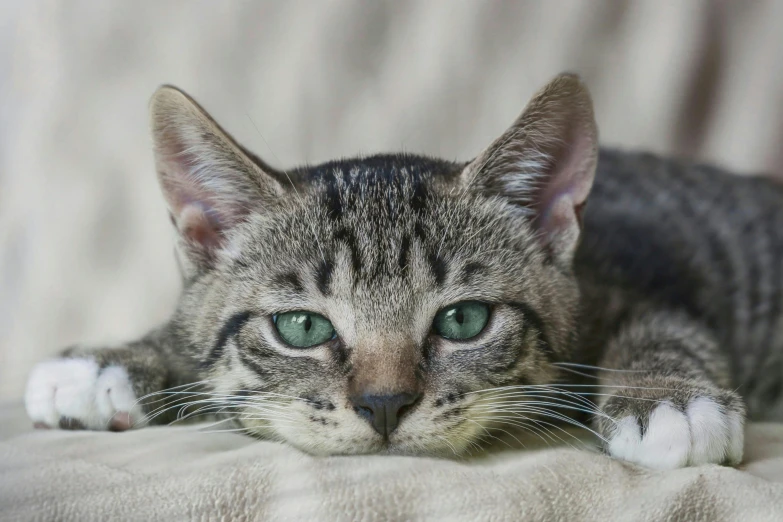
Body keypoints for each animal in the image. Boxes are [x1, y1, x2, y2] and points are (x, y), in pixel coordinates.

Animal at [24, 72, 783, 468]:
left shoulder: (640, 276)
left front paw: (671, 401)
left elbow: (667, 326)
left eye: (465, 319)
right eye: (301, 327)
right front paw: (111, 360)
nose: (384, 404)